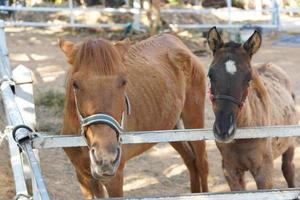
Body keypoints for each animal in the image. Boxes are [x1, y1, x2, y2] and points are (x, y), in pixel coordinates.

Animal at [58, 34, 209, 198]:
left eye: (123, 82)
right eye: (75, 84)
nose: (105, 158)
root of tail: (175, 40)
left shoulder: (114, 180)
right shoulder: (83, 177)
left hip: (194, 120)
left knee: (202, 163)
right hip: (170, 127)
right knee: (190, 160)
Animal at [207, 27, 296, 191]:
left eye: (248, 78)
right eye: (210, 75)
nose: (224, 130)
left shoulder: (264, 173)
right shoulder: (231, 171)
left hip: (290, 144)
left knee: (288, 169)